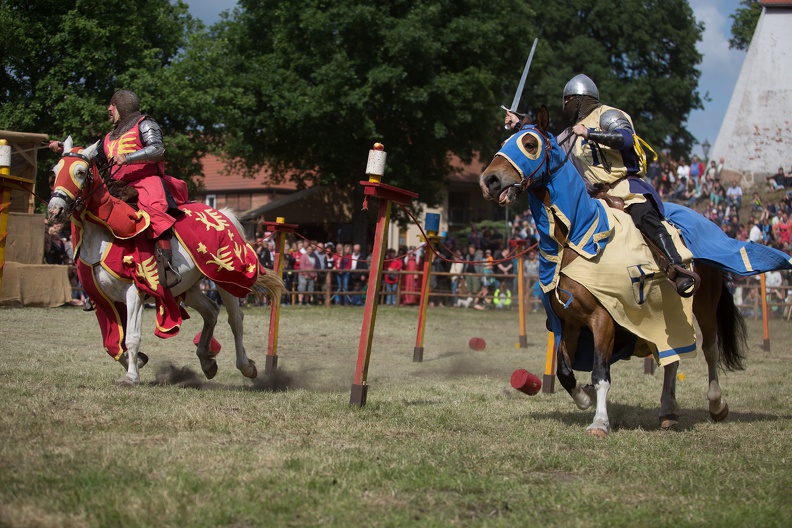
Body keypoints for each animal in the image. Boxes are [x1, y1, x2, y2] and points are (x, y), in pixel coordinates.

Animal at [45, 138, 282, 386]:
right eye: (55, 171)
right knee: (211, 311)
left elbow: (131, 337)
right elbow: (111, 343)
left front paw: (131, 376)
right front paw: (137, 362)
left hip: (226, 278)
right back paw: (206, 360)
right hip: (189, 286)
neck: (103, 234)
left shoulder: (134, 292)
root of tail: (222, 215)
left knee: (236, 320)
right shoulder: (102, 300)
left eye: (80, 172)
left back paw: (246, 366)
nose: (54, 211)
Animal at [480, 108, 744, 438]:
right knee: (671, 358)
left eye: (530, 144)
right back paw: (667, 412)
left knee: (709, 349)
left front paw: (600, 422)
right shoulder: (569, 323)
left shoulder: (602, 319)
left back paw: (716, 404)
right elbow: (565, 372)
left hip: (705, 304)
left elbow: (601, 373)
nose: (489, 180)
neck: (577, 237)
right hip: (666, 311)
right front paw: (585, 397)